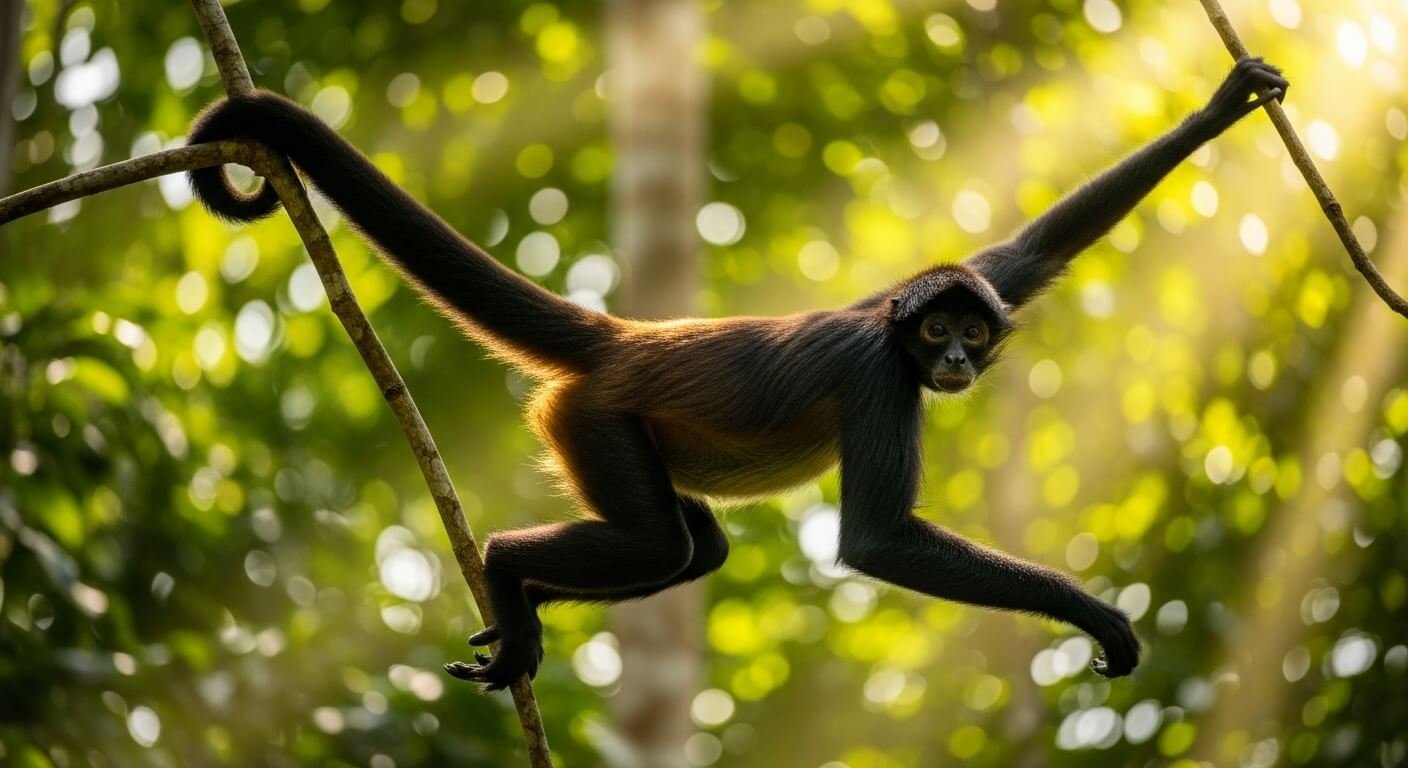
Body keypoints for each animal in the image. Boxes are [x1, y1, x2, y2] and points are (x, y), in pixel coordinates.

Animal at [186, 57, 1287, 691]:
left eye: (972, 330)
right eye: (936, 336)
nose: (957, 359)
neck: (893, 333)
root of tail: (621, 338)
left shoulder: (956, 287)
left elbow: (1034, 247)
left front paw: (1220, 108)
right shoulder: (879, 372)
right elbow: (876, 540)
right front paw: (1094, 613)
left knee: (692, 549)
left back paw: (526, 601)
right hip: (596, 418)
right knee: (657, 538)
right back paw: (503, 564)